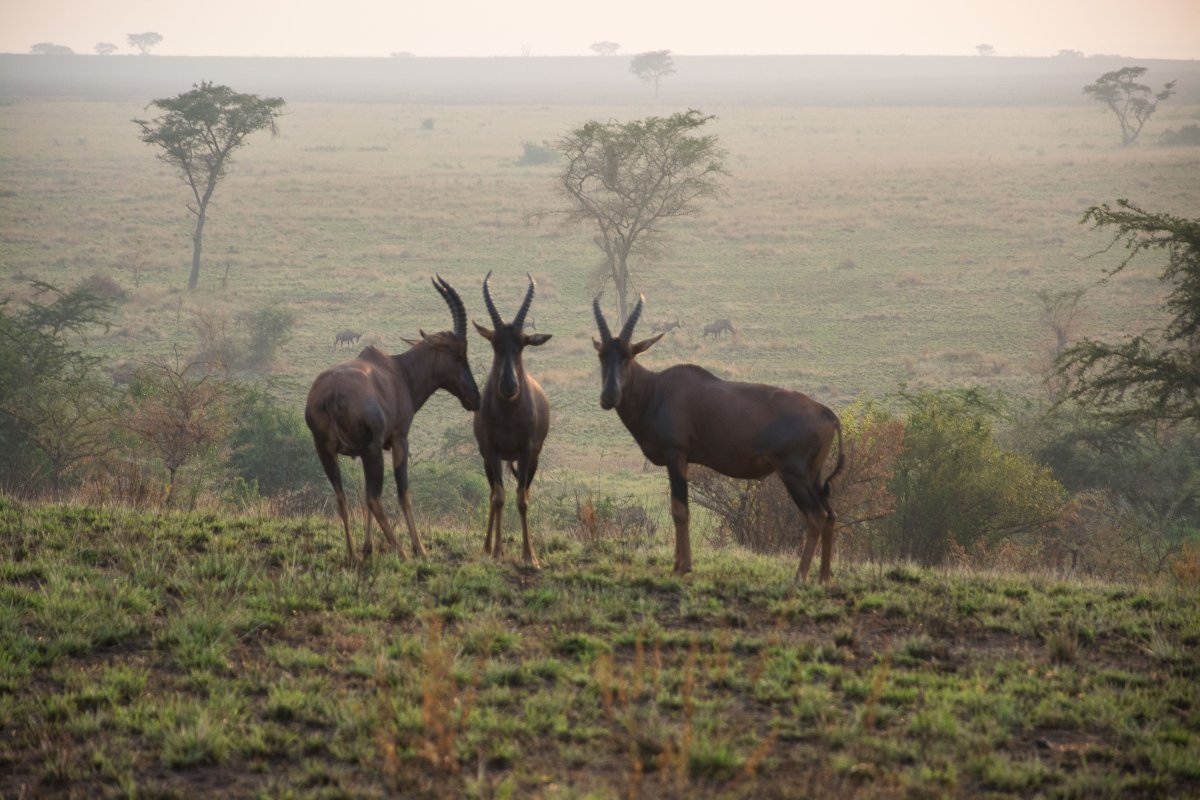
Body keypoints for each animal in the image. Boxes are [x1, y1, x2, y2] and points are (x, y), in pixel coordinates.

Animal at [302, 278, 480, 566]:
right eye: (459, 355)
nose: (475, 399)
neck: (398, 371)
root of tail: (332, 394)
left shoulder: (359, 453)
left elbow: (363, 494)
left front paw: (367, 547)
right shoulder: (398, 440)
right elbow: (403, 492)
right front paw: (420, 548)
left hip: (325, 450)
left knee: (343, 497)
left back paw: (353, 555)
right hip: (372, 450)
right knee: (375, 498)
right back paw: (402, 552)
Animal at [475, 273, 554, 568]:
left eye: (522, 344)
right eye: (494, 343)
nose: (509, 386)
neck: (509, 414)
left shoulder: (526, 451)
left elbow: (522, 500)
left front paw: (530, 556)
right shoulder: (491, 450)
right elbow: (499, 497)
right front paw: (497, 550)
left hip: (531, 461)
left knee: (524, 493)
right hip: (488, 460)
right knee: (492, 494)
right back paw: (487, 546)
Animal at [590, 293, 844, 582]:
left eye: (629, 356)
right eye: (602, 355)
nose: (609, 397)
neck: (656, 390)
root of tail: (826, 413)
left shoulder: (676, 456)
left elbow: (680, 511)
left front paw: (683, 567)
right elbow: (677, 508)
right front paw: (678, 564)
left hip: (794, 474)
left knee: (815, 516)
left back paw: (799, 577)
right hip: (814, 475)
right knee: (830, 514)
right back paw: (823, 577)